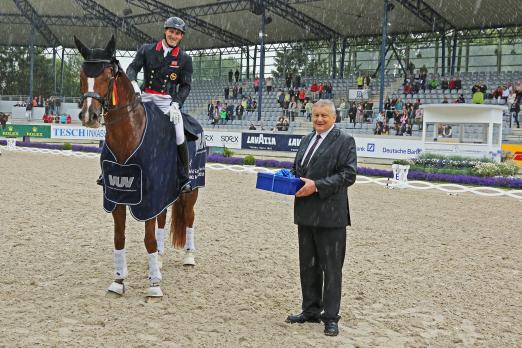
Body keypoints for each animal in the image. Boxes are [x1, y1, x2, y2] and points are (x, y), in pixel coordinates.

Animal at [75, 35, 201, 298]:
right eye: (82, 74)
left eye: (108, 75)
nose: (89, 116)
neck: (128, 135)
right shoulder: (118, 194)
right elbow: (119, 238)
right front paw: (118, 281)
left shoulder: (147, 198)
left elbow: (148, 240)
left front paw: (154, 285)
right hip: (164, 192)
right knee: (162, 219)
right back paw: (161, 259)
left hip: (191, 191)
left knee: (190, 218)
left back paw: (189, 257)